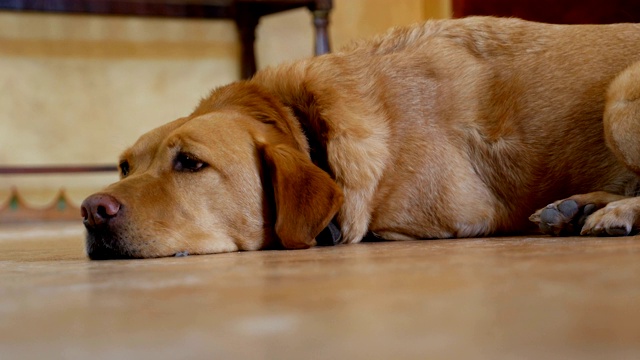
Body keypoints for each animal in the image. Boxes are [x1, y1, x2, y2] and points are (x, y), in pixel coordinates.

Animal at [81, 16, 640, 258]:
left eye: (191, 163)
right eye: (125, 166)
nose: (90, 210)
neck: (306, 120)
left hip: (618, 98)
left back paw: (613, 213)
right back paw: (577, 208)